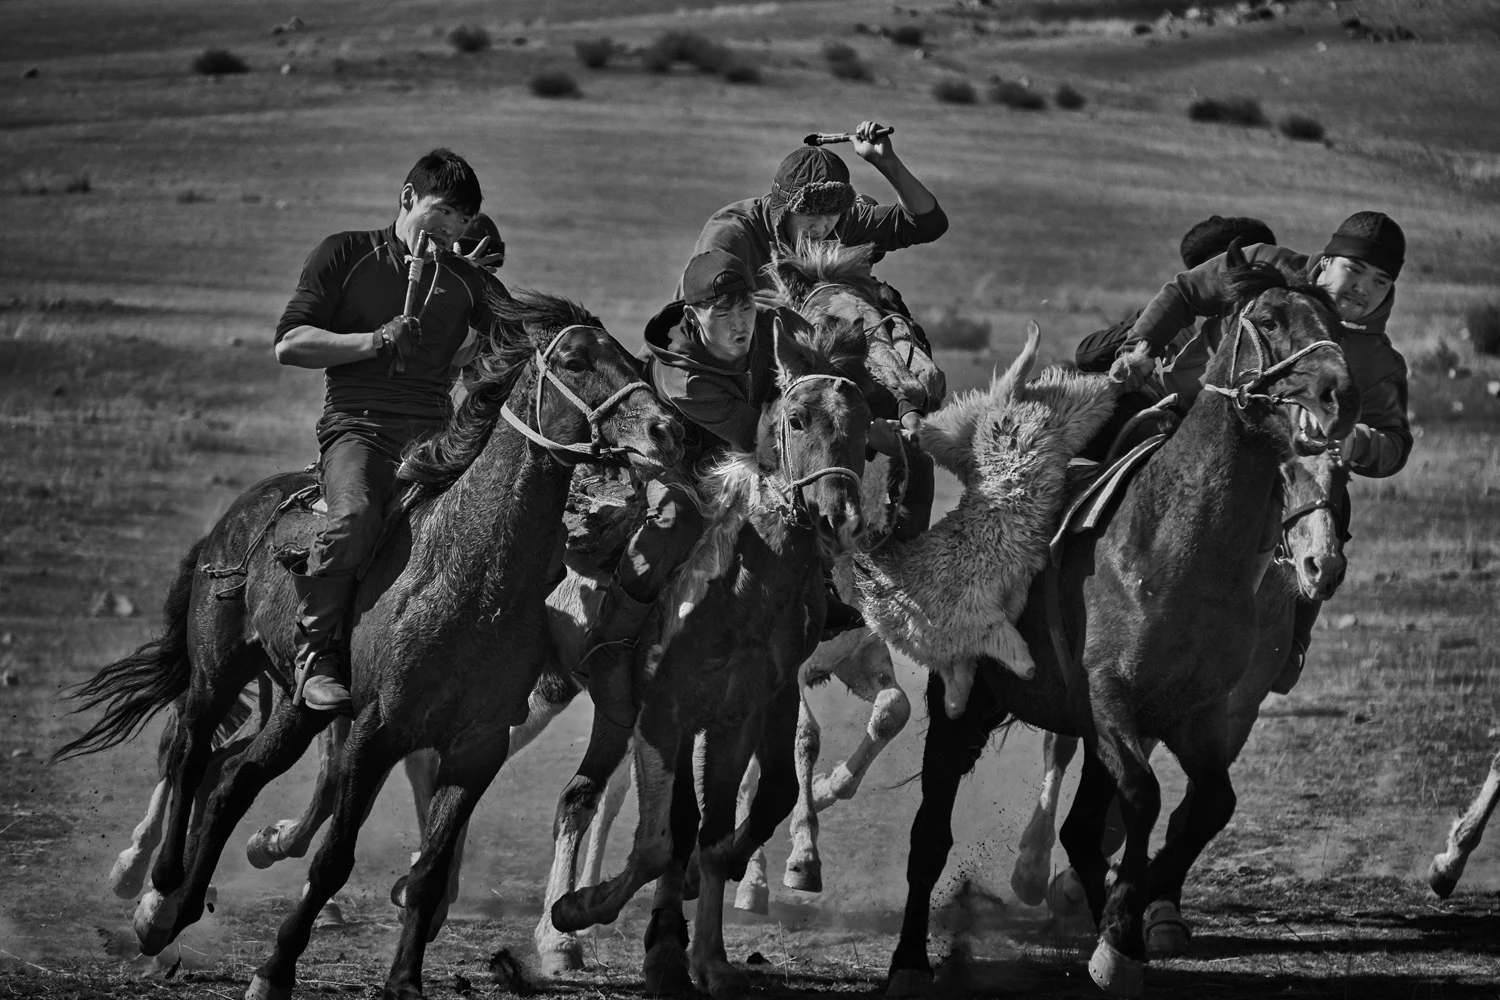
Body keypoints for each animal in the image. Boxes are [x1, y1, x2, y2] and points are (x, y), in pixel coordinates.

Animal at [55, 289, 684, 1000]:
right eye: (576, 360)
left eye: (633, 356)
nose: (666, 430)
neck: (469, 578)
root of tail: (241, 511)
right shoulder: (375, 732)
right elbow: (333, 857)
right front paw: (274, 971)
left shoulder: (477, 747)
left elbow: (431, 868)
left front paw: (404, 980)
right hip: (219, 671)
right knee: (189, 753)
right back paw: (156, 894)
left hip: (302, 705)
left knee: (233, 782)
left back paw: (177, 908)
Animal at [544, 320, 875, 999]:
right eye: (797, 418)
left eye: (863, 426)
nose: (840, 517)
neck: (741, 582)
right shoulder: (663, 713)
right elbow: (660, 843)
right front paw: (585, 910)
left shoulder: (740, 715)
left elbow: (720, 832)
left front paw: (708, 958)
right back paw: (551, 933)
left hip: (615, 714)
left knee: (583, 797)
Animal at [1008, 443, 1353, 951]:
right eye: (1284, 477)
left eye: (1342, 480)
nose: (1322, 567)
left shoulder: (1228, 710)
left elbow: (1196, 801)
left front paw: (1155, 902)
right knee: (1061, 748)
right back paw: (1032, 868)